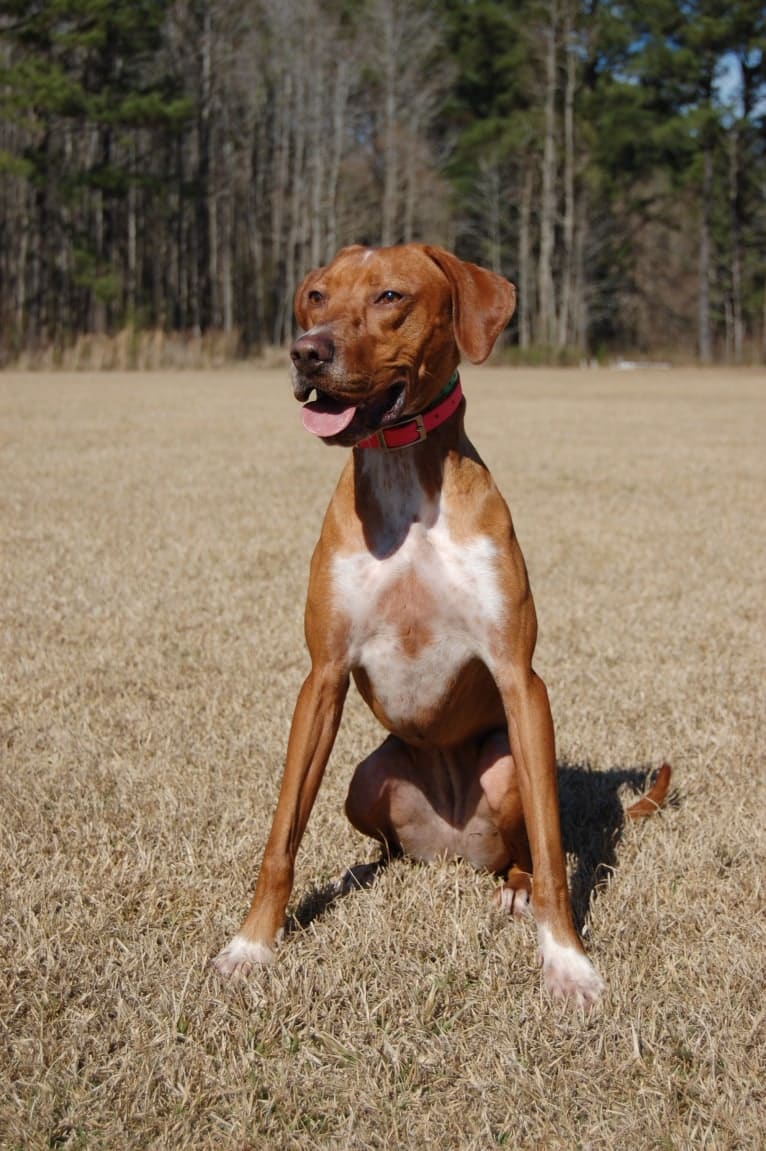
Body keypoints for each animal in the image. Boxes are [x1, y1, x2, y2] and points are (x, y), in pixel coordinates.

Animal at [210, 245, 667, 1008]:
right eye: (316, 296)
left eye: (390, 296)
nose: (306, 352)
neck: (404, 474)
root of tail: (451, 845)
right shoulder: (323, 676)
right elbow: (281, 838)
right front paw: (252, 944)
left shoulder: (520, 678)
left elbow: (553, 849)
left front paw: (567, 961)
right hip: (365, 780)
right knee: (387, 838)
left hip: (505, 768)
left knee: (521, 851)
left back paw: (513, 889)